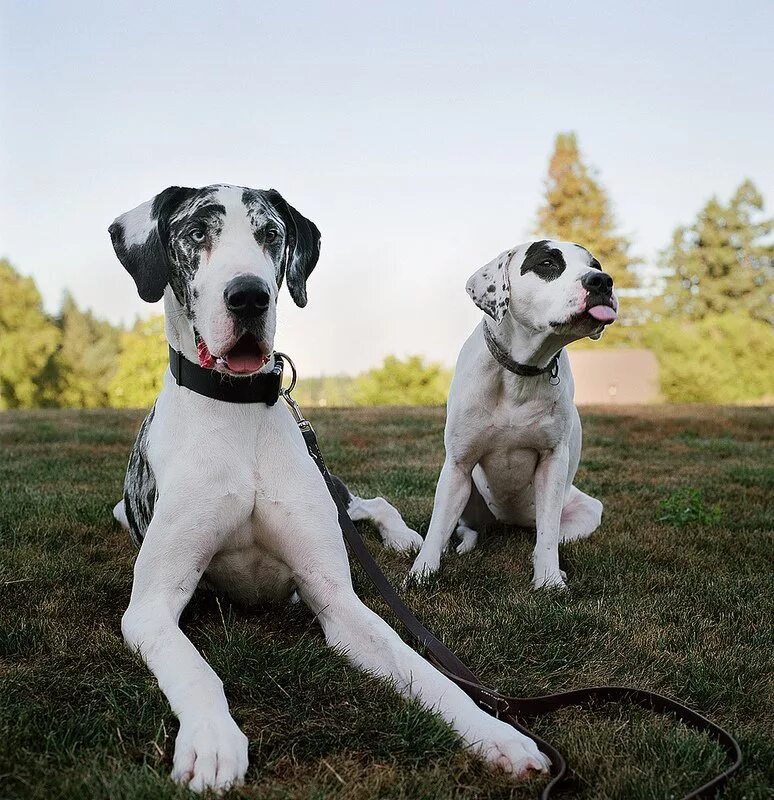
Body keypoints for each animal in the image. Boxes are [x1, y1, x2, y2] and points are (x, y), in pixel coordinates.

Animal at [107, 188, 552, 792]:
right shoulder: (151, 609)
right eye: (196, 233)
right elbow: (197, 670)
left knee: (369, 504)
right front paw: (212, 740)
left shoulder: (339, 601)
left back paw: (407, 540)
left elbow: (426, 671)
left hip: (334, 493)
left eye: (270, 234)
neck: (237, 412)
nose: (249, 295)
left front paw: (497, 735)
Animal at [412, 241, 620, 592]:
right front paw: (421, 572)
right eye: (547, 263)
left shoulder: (552, 463)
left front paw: (549, 579)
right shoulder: (457, 466)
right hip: (468, 497)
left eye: (596, 265)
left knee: (550, 535)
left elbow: (548, 537)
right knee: (463, 530)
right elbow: (436, 528)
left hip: (585, 509)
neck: (522, 371)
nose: (602, 282)